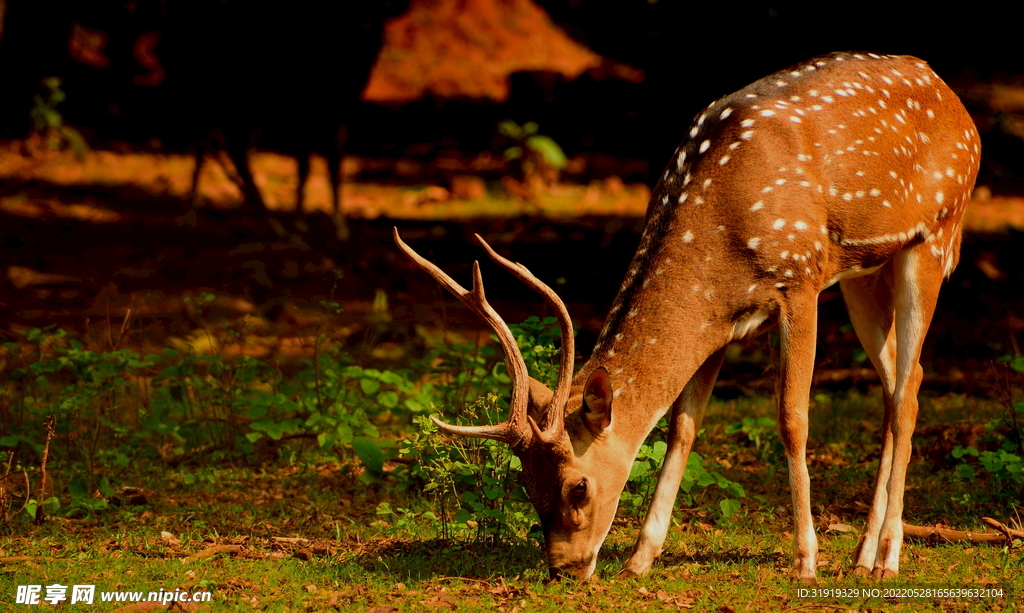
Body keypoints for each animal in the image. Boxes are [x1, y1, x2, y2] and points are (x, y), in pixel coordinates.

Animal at [391, 50, 974, 581]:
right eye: (526, 484)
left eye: (578, 486)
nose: (564, 569)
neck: (719, 238)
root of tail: (953, 98)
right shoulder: (722, 323)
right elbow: (682, 427)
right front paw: (640, 559)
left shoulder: (799, 280)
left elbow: (792, 419)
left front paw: (805, 561)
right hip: (863, 274)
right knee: (901, 384)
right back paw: (861, 556)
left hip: (934, 237)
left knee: (908, 393)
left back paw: (888, 558)